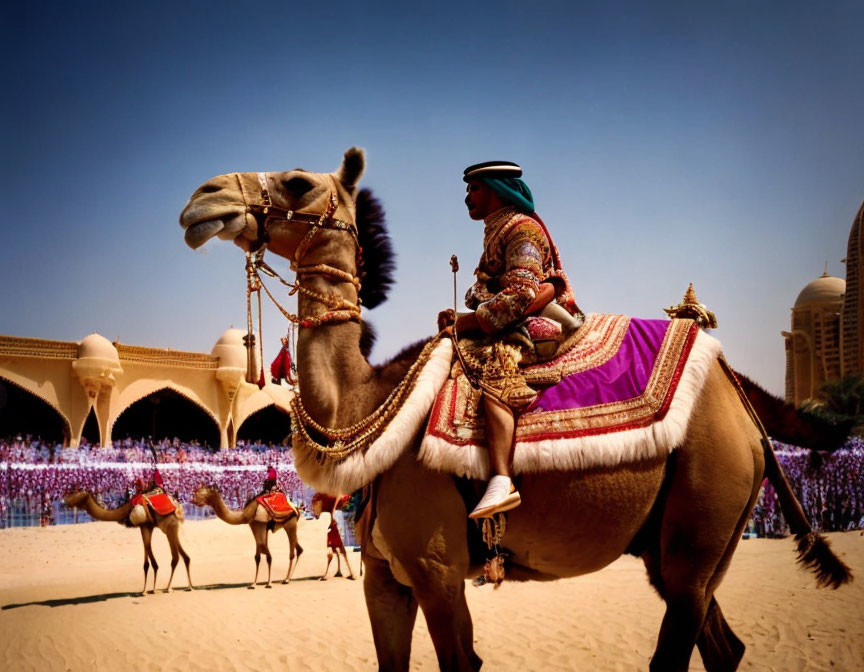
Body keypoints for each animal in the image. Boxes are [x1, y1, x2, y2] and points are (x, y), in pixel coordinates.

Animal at [62, 488, 192, 592]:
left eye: (75, 494)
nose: (65, 500)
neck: (126, 509)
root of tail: (177, 506)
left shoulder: (144, 525)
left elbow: (151, 560)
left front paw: (150, 590)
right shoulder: (146, 526)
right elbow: (147, 560)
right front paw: (145, 590)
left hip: (169, 525)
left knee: (175, 558)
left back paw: (168, 588)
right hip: (171, 527)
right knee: (185, 556)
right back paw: (188, 586)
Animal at [181, 148, 852, 672]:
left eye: (297, 181)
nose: (202, 199)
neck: (366, 403)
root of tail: (736, 390)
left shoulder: (437, 569)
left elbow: (462, 662)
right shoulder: (384, 577)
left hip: (700, 523)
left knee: (676, 651)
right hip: (677, 547)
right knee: (724, 647)